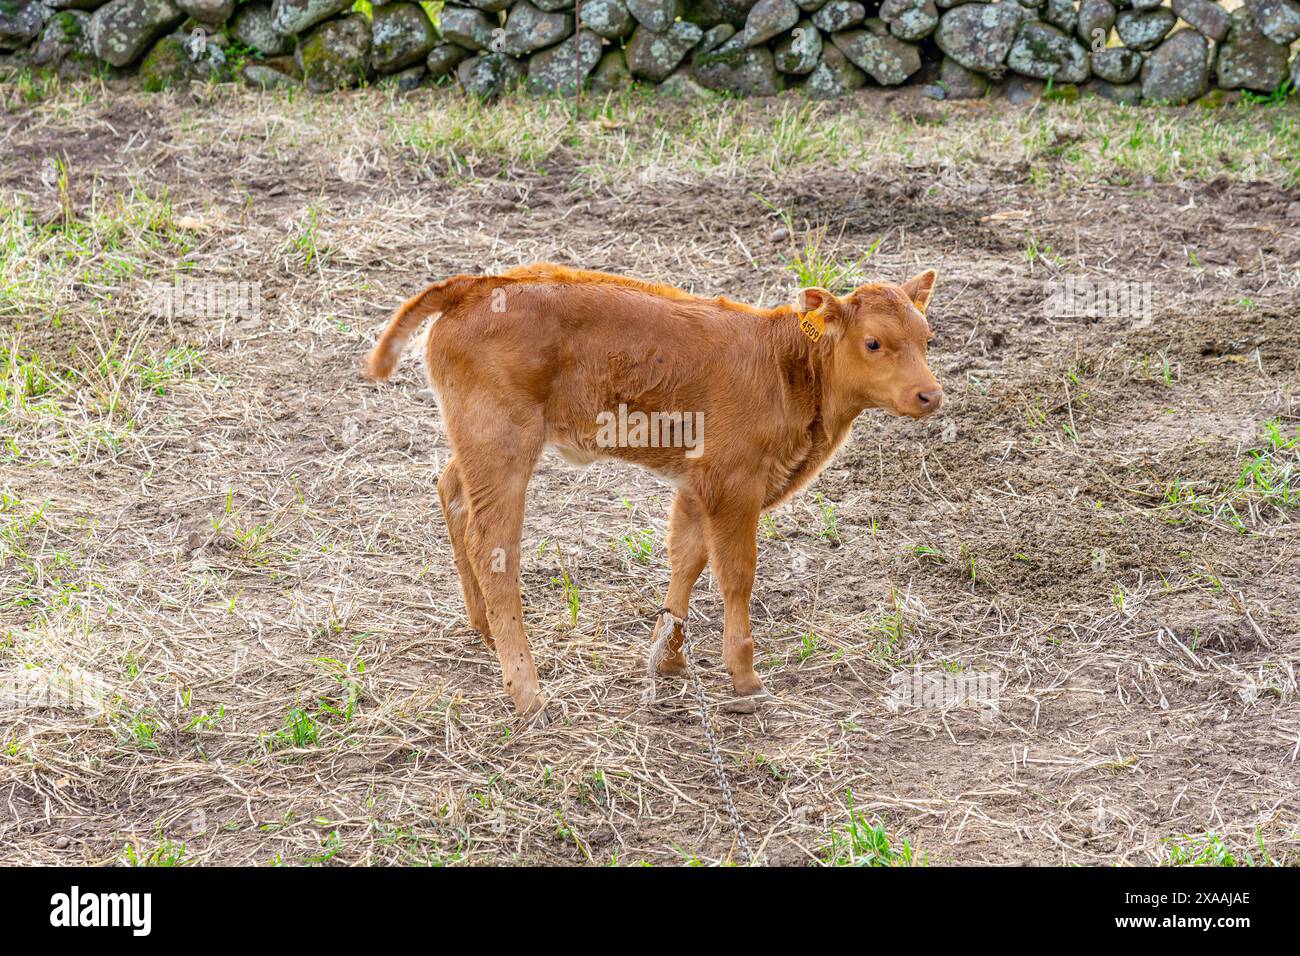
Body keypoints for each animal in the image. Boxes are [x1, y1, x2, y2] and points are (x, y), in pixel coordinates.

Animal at [366, 263, 942, 718]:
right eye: (873, 342)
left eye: (927, 338)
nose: (930, 396)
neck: (788, 367)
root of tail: (481, 284)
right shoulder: (734, 485)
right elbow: (736, 575)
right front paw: (746, 679)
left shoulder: (697, 485)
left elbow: (687, 557)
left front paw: (668, 657)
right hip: (503, 445)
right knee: (494, 550)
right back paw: (527, 693)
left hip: (479, 446)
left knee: (452, 495)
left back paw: (484, 630)